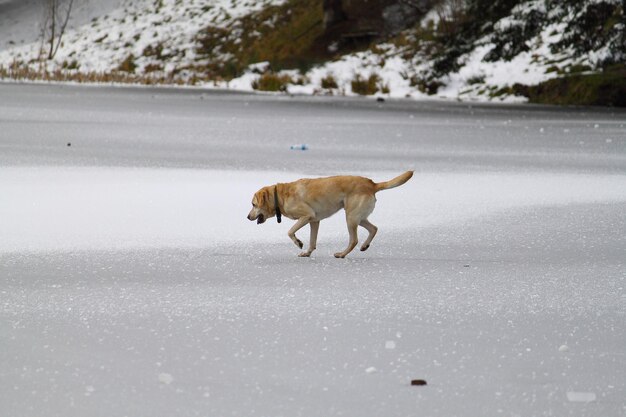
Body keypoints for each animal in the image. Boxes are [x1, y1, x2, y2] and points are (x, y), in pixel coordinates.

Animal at [246, 170, 412, 256]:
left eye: (253, 204)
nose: (247, 217)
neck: (279, 196)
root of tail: (372, 184)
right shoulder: (314, 221)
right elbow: (312, 241)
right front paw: (307, 253)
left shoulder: (307, 215)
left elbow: (290, 231)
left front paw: (299, 243)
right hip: (358, 216)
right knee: (374, 228)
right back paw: (365, 246)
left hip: (350, 217)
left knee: (354, 240)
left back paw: (342, 254)